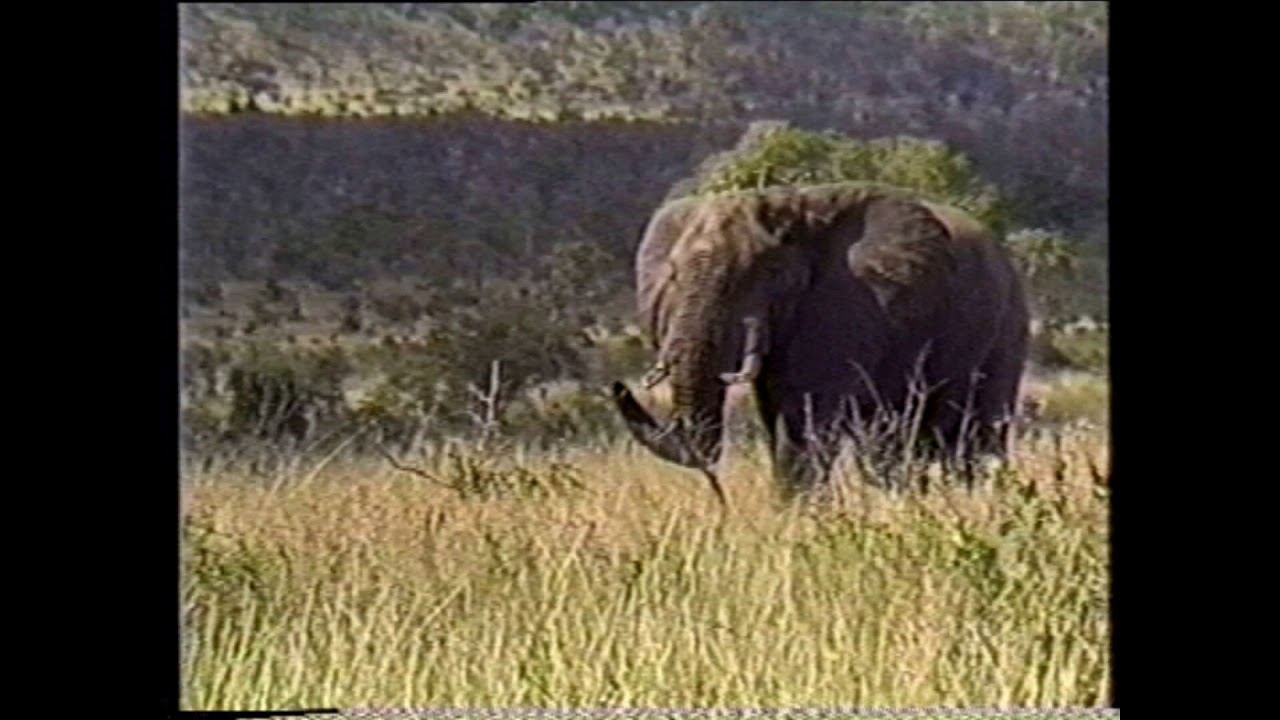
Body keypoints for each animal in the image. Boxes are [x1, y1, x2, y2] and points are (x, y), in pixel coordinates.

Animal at [611, 182, 1031, 499]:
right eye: (673, 275)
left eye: (772, 272)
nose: (619, 387)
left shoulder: (846, 302)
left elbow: (803, 417)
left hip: (1007, 326)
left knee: (972, 434)